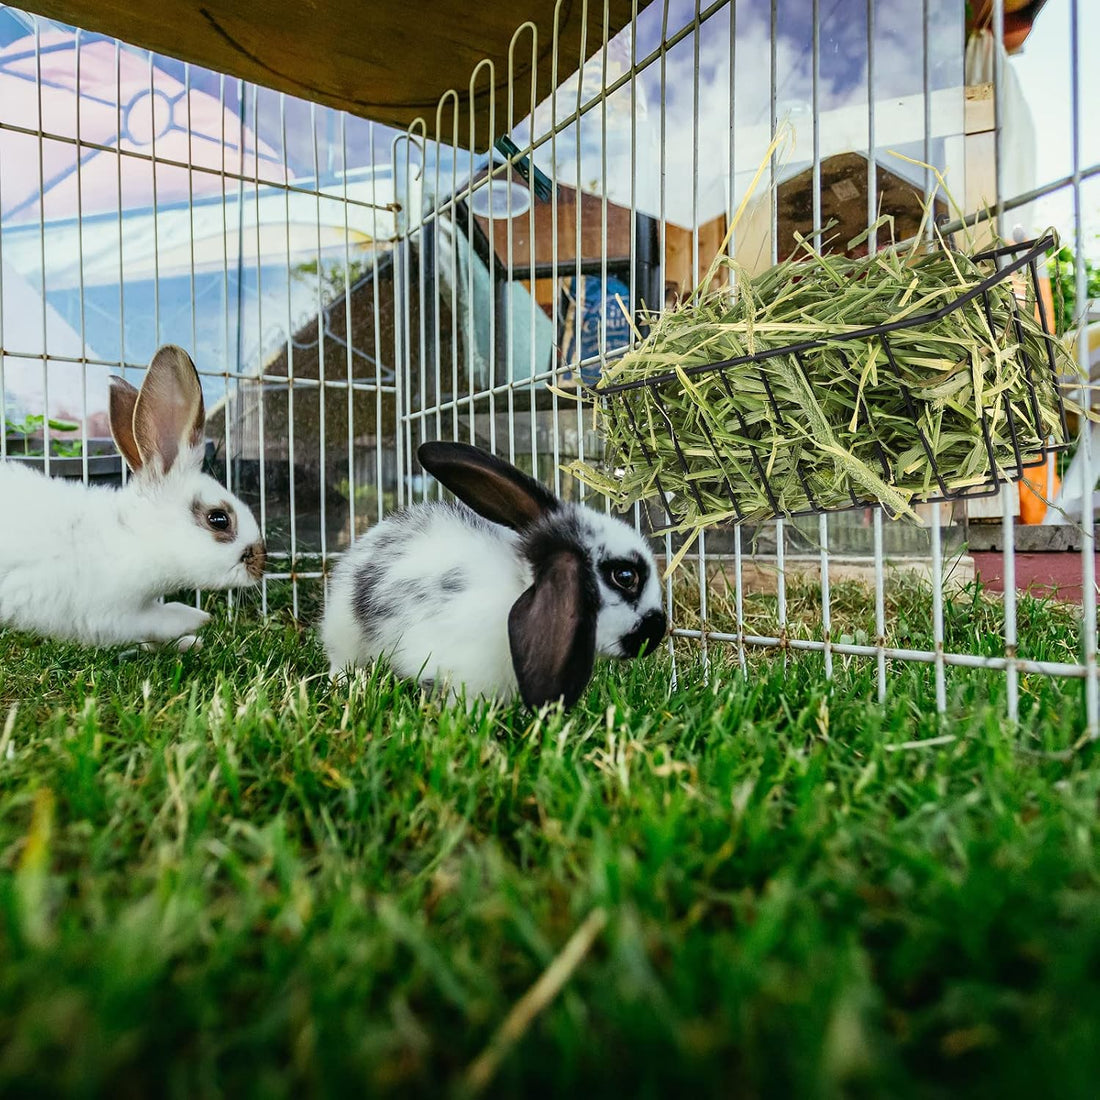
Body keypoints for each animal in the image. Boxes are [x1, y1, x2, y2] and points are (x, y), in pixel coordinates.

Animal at [0, 344, 266, 650]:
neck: (133, 535)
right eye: (219, 519)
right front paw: (196, 620)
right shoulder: (112, 616)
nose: (261, 565)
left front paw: (189, 642)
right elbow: (160, 620)